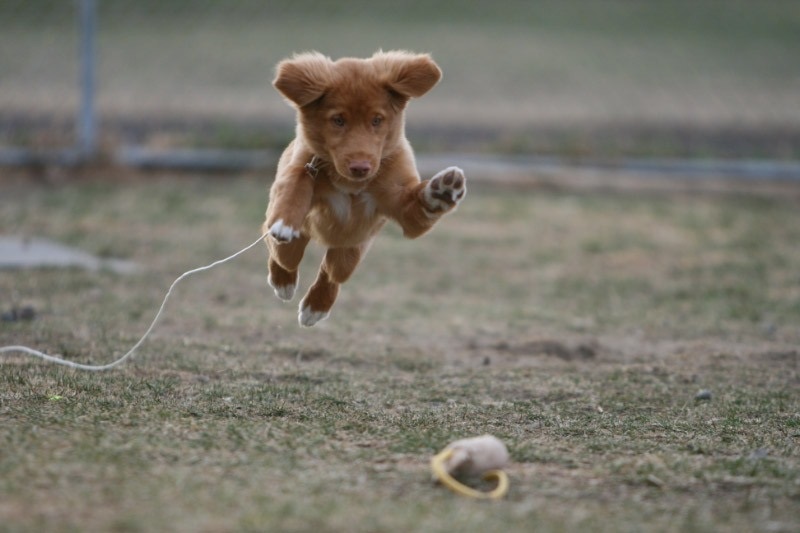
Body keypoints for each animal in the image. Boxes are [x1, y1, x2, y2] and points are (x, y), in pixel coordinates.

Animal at [262, 51, 466, 324]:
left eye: (377, 120)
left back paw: (316, 306)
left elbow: (417, 208)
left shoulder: (401, 205)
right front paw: (285, 222)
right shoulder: (304, 165)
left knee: (332, 272)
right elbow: (295, 185)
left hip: (352, 248)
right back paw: (282, 280)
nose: (361, 167)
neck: (351, 183)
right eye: (338, 120)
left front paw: (441, 193)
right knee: (283, 253)